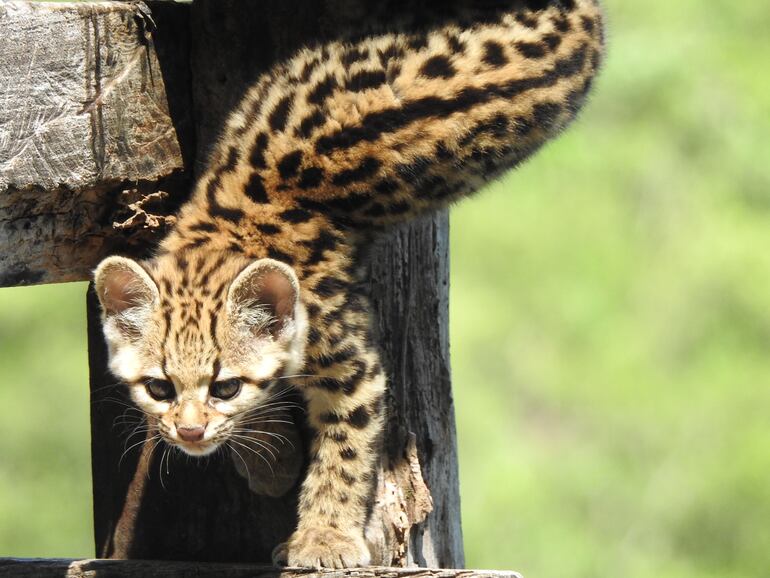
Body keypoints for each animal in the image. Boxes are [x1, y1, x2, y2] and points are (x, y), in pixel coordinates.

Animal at [94, 0, 600, 568]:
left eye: (226, 386)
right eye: (158, 387)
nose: (189, 431)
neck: (224, 236)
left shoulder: (353, 366)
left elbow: (346, 451)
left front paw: (324, 537)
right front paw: (272, 464)